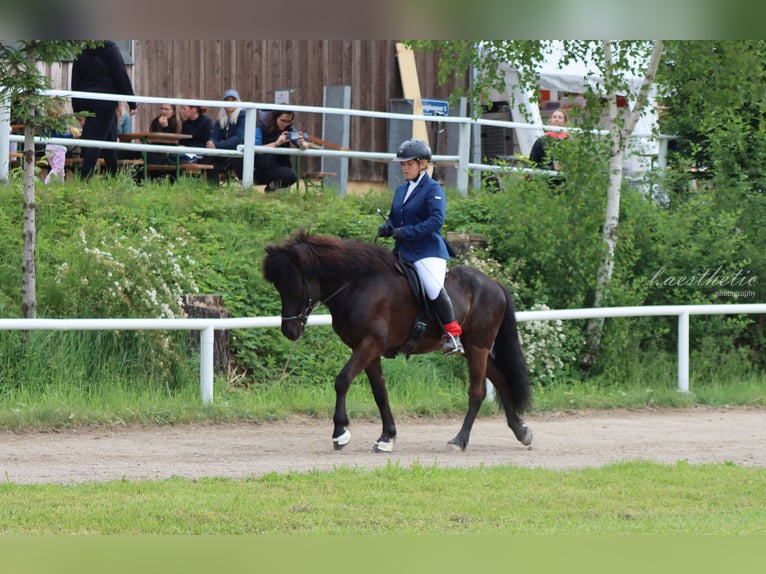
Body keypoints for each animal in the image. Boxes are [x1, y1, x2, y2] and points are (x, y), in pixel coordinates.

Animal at [264, 230, 536, 454]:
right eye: (278, 285)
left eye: (295, 284)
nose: (289, 330)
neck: (357, 285)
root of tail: (494, 283)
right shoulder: (368, 349)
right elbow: (380, 392)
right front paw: (387, 437)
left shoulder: (370, 344)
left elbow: (342, 381)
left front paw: (340, 433)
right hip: (472, 348)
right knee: (500, 378)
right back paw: (521, 431)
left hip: (478, 346)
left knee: (478, 392)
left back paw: (460, 440)